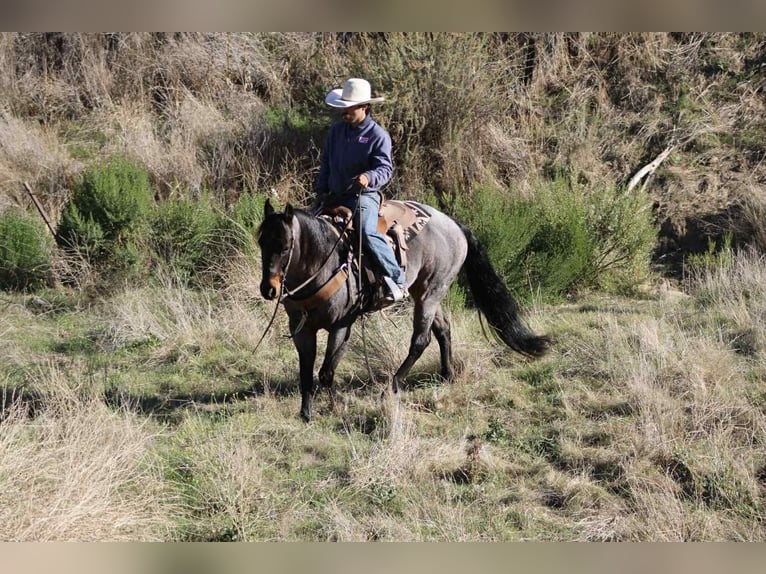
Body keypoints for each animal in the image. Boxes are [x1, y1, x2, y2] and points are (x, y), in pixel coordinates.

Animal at [258, 198, 549, 422]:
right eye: (261, 242)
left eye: (286, 247)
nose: (268, 289)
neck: (323, 262)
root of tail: (453, 224)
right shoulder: (301, 329)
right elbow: (306, 372)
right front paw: (306, 413)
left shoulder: (341, 325)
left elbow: (326, 371)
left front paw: (334, 406)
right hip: (424, 292)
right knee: (443, 328)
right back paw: (447, 375)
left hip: (433, 291)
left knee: (421, 340)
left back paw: (392, 387)